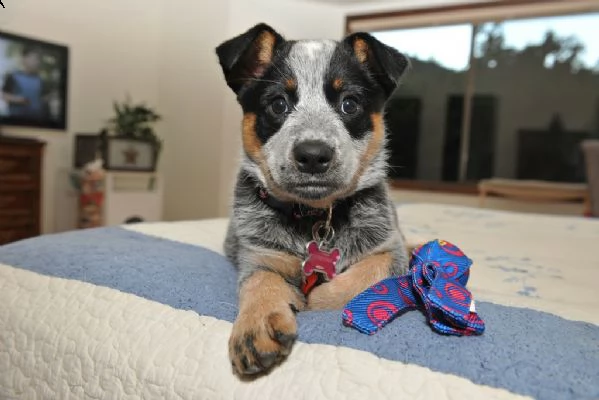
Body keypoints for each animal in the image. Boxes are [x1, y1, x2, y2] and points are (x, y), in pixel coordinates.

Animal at [217, 23, 412, 376]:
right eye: (278, 104)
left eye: (350, 104)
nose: (312, 154)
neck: (314, 218)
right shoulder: (259, 255)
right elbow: (259, 281)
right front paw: (257, 323)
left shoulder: (388, 250)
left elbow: (356, 281)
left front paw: (315, 300)